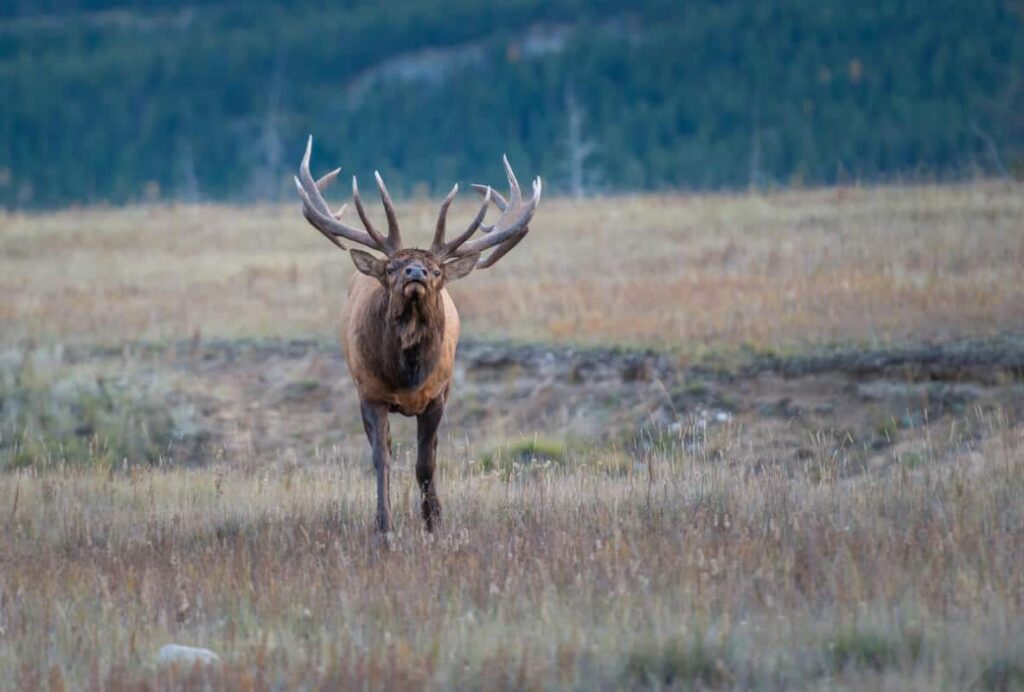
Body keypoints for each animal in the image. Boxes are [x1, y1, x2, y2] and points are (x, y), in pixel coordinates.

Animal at [292, 136, 540, 536]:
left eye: (437, 270)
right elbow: (381, 459)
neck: (407, 375)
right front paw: (384, 526)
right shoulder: (370, 392)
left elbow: (426, 462)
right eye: (392, 267)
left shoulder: (438, 393)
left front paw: (434, 521)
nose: (416, 272)